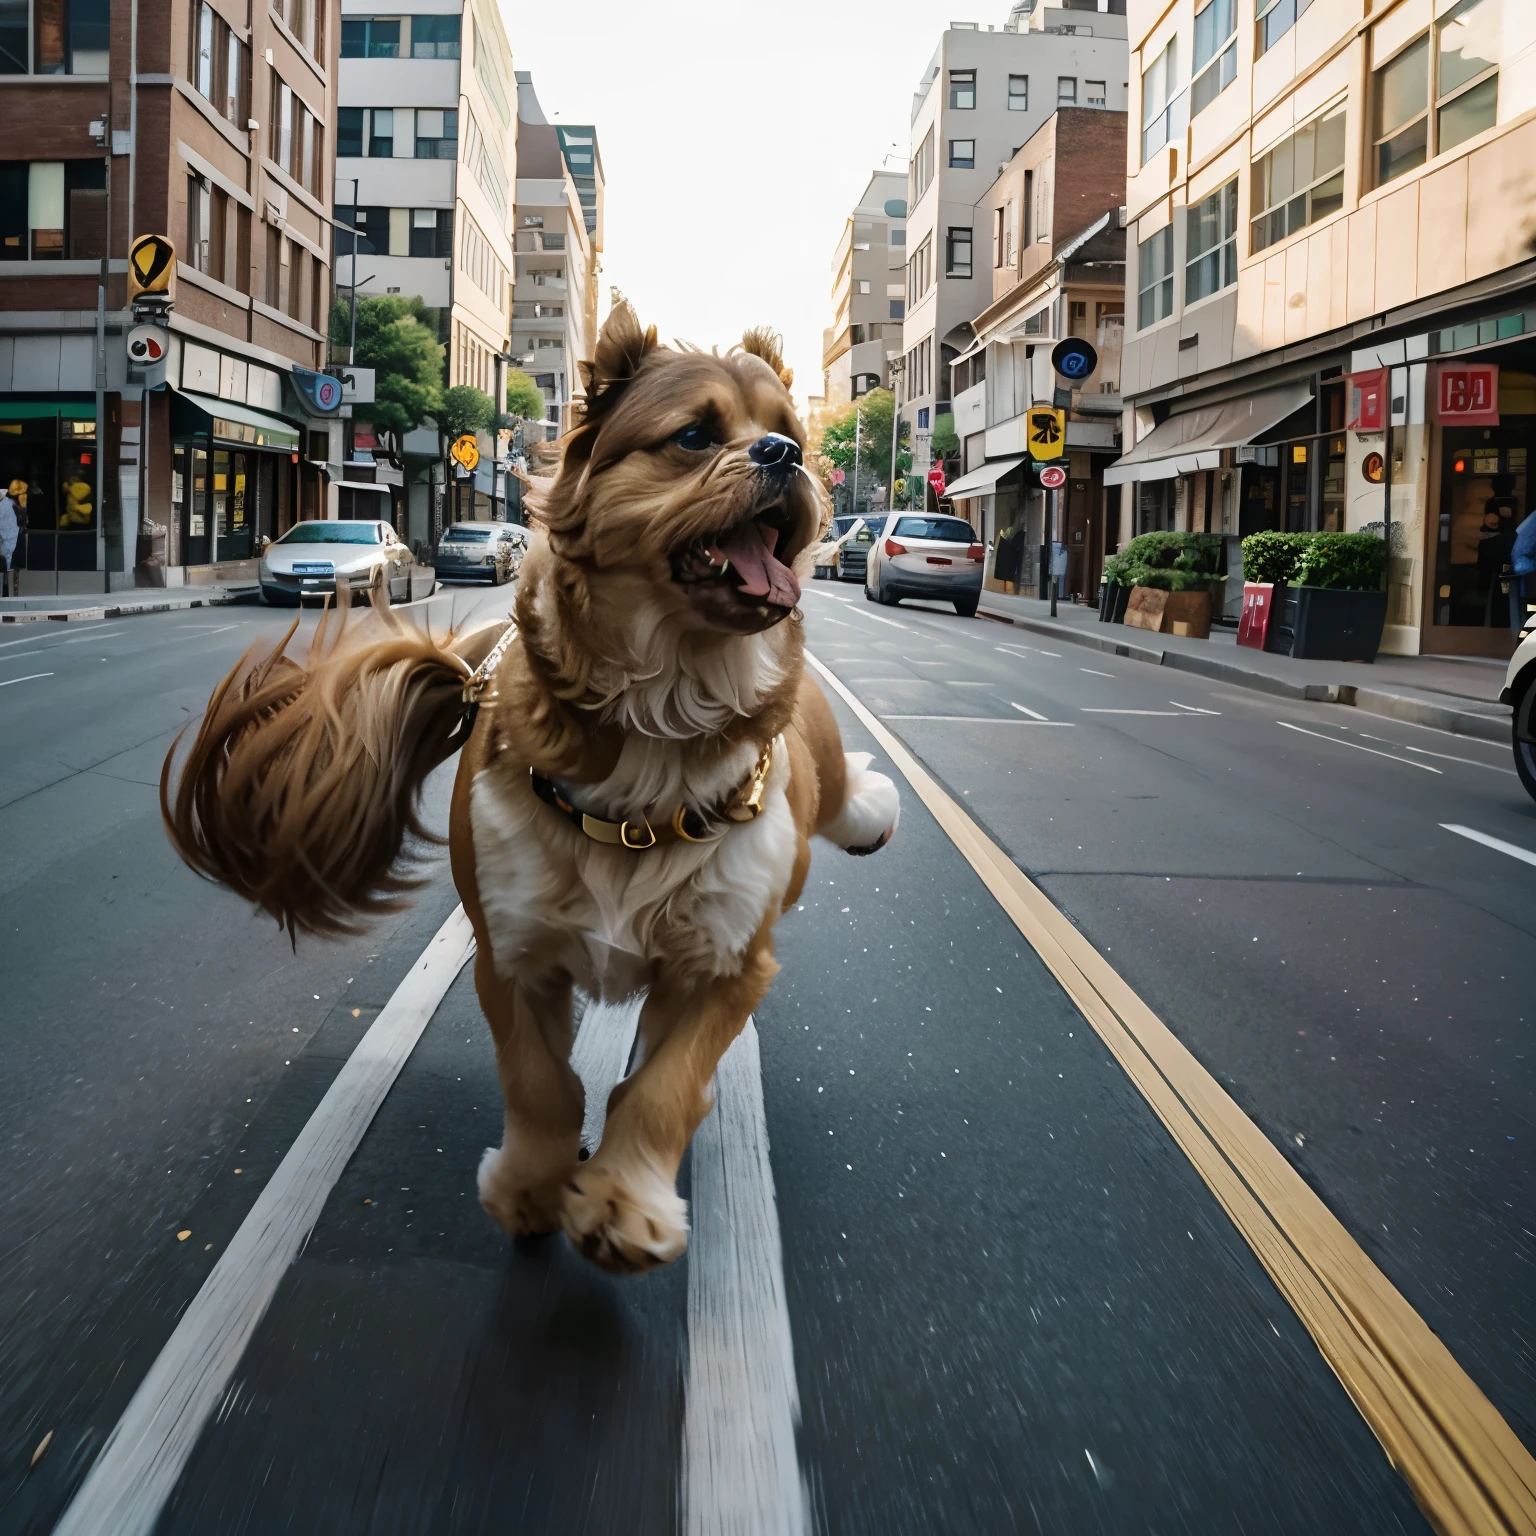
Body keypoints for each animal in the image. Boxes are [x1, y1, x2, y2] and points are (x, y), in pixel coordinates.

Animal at [162, 299, 897, 1271]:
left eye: (789, 435)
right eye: (695, 437)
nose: (783, 456)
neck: (667, 702)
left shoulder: (728, 965)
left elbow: (663, 1087)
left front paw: (624, 1201)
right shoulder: (512, 953)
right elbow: (542, 1082)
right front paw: (536, 1185)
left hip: (811, 752)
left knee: (839, 778)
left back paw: (873, 810)